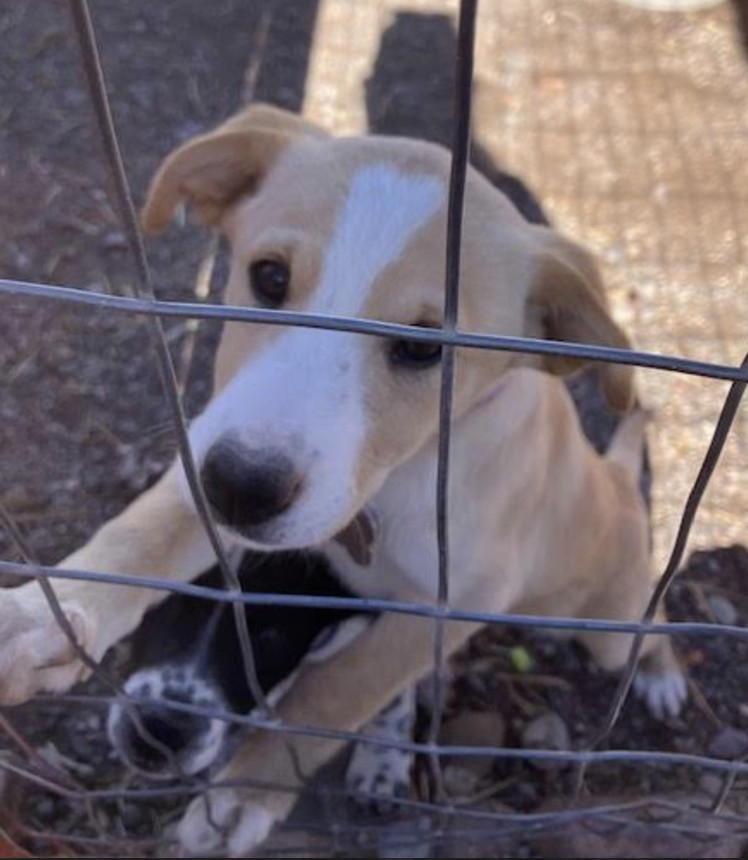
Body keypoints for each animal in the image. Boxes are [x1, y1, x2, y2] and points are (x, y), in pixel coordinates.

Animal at [0, 106, 688, 852]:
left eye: (423, 348)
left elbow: (332, 694)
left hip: (606, 622)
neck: (399, 478)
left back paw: (661, 676)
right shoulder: (209, 454)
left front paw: (243, 796)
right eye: (269, 278)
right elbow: (138, 538)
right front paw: (38, 617)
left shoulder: (449, 604)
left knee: (647, 623)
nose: (241, 487)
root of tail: (617, 483)